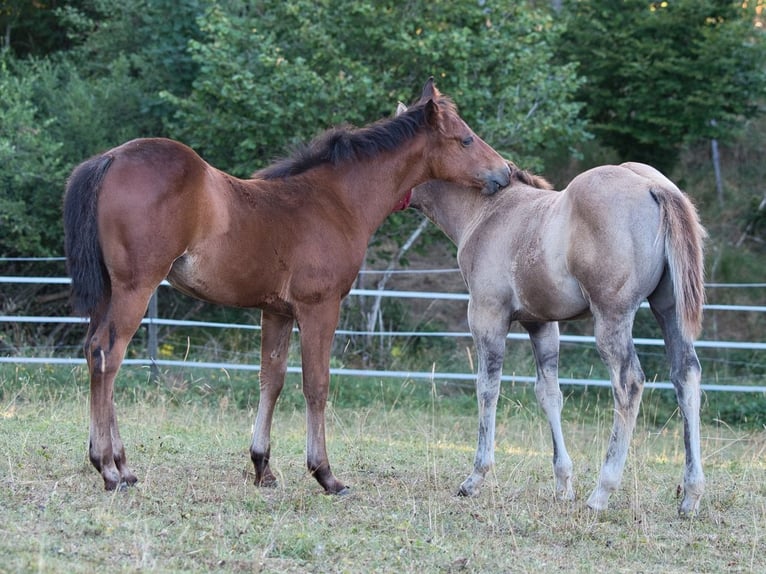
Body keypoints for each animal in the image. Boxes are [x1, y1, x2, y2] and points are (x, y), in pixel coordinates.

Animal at [63, 78, 511, 493]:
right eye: (466, 138)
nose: (505, 172)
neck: (336, 201)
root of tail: (110, 157)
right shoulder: (319, 306)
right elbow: (316, 384)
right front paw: (325, 474)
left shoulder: (276, 310)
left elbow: (272, 379)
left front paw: (263, 467)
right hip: (135, 288)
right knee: (108, 354)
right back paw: (109, 469)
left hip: (109, 291)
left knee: (93, 350)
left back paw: (122, 466)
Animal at [409, 162, 706, 515]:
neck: (486, 211)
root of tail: (655, 186)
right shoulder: (541, 324)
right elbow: (549, 394)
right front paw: (564, 484)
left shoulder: (487, 316)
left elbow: (487, 389)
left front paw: (475, 479)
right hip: (669, 309)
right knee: (686, 375)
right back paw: (690, 495)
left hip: (612, 317)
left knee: (629, 383)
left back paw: (601, 492)